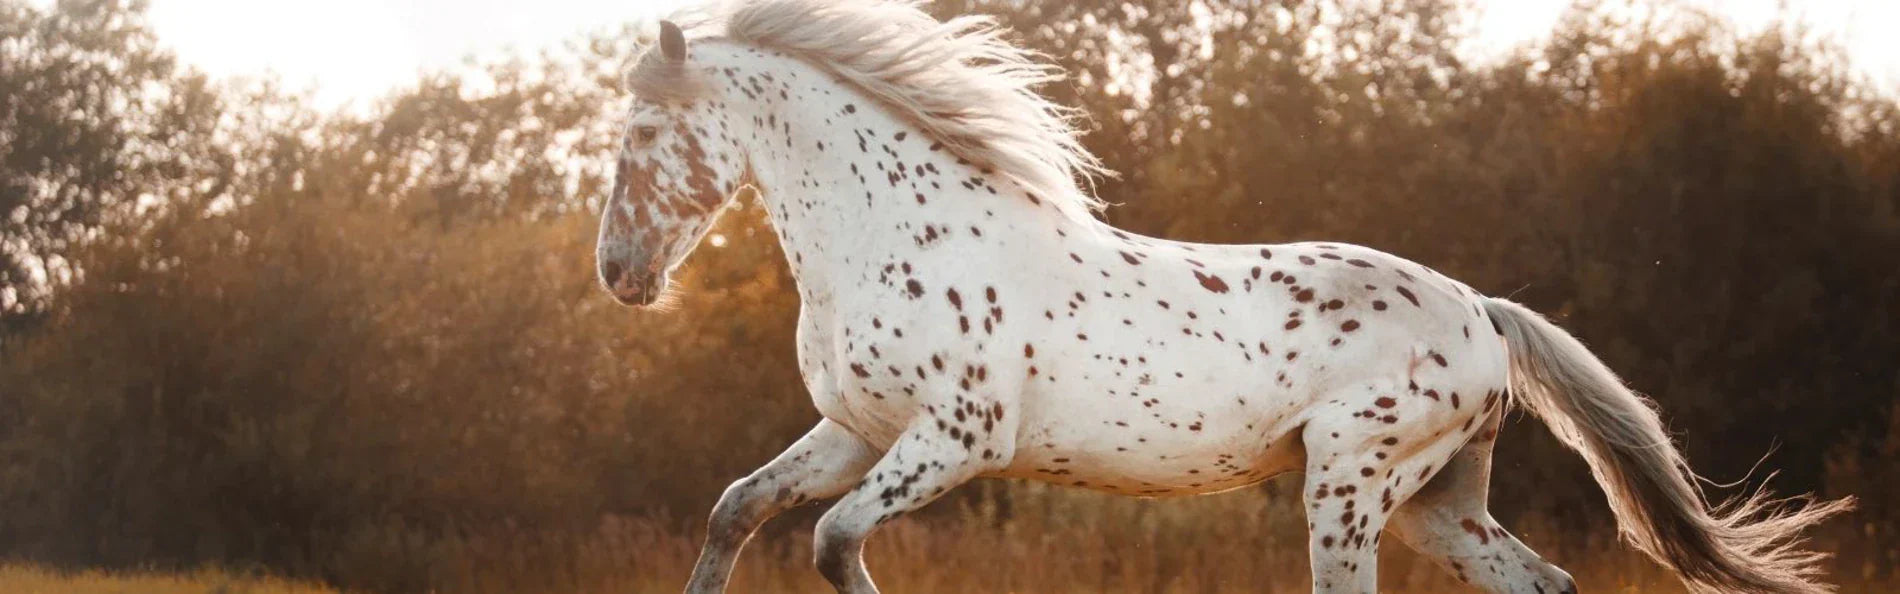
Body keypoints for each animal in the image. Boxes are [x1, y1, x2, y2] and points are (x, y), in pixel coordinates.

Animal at [592, 1, 1851, 592]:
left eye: (645, 132)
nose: (616, 274)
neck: (894, 229)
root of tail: (1481, 310)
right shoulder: (856, 431)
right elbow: (739, 511)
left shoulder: (954, 439)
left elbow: (834, 542)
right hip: (1439, 502)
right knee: (1541, 579)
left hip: (1351, 488)